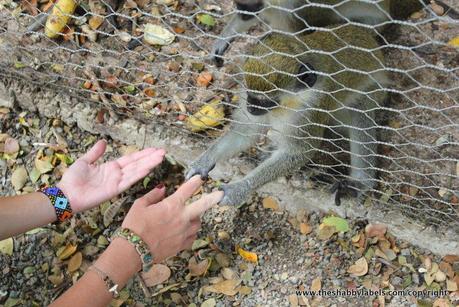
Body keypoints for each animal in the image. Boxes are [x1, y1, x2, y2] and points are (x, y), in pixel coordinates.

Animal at [187, 24, 388, 207]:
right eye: (251, 96)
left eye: (267, 101)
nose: (251, 109)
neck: (292, 100)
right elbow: (247, 131)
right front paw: (205, 161)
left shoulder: (313, 107)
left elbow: (299, 151)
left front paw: (240, 188)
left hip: (374, 90)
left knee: (360, 118)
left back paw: (360, 182)